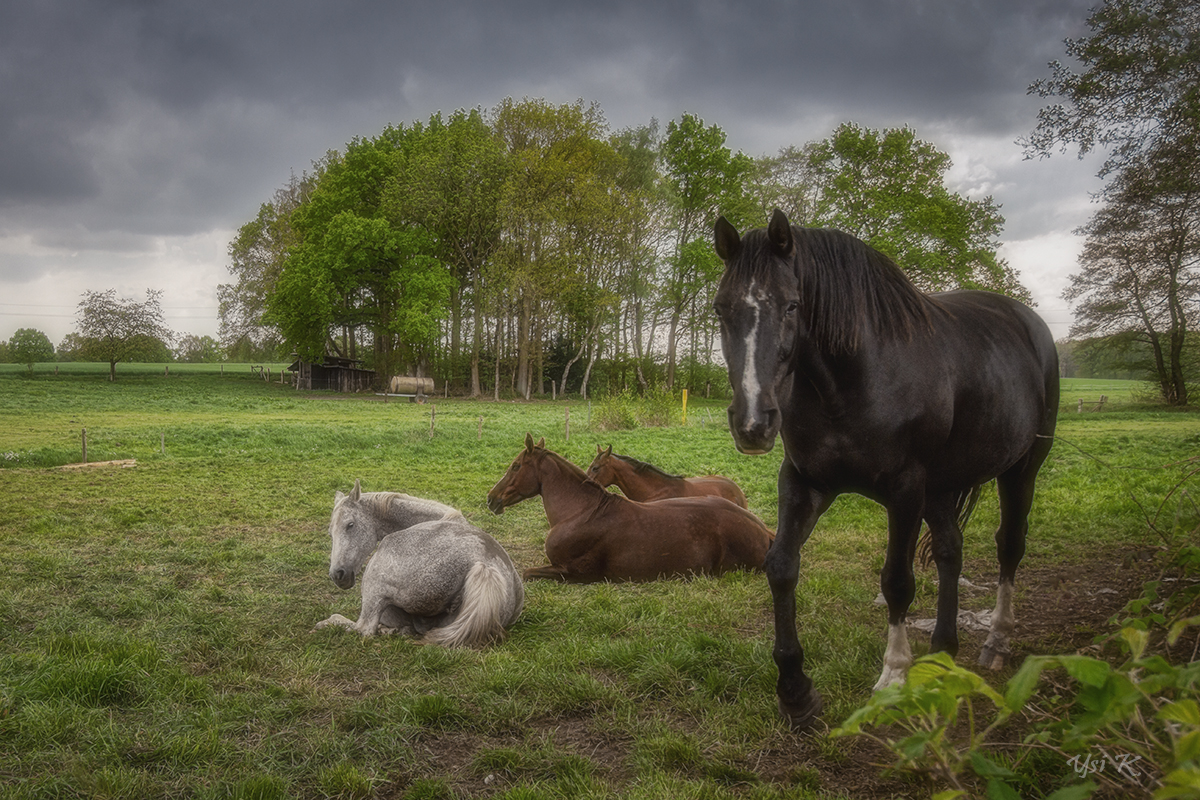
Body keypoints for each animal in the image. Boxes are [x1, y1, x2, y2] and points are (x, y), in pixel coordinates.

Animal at [316, 479, 523, 647]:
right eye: (330, 533)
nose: (338, 575)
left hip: (374, 587)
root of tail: (483, 565)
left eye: (350, 525)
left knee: (363, 628)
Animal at [710, 211, 1060, 734]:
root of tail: (1029, 323)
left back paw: (995, 640)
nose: (753, 422)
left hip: (1020, 471)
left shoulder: (905, 489)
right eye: (721, 310)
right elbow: (781, 566)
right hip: (943, 488)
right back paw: (942, 651)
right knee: (950, 551)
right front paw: (796, 691)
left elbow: (896, 581)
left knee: (1009, 547)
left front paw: (894, 676)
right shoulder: (804, 483)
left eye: (792, 305)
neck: (852, 380)